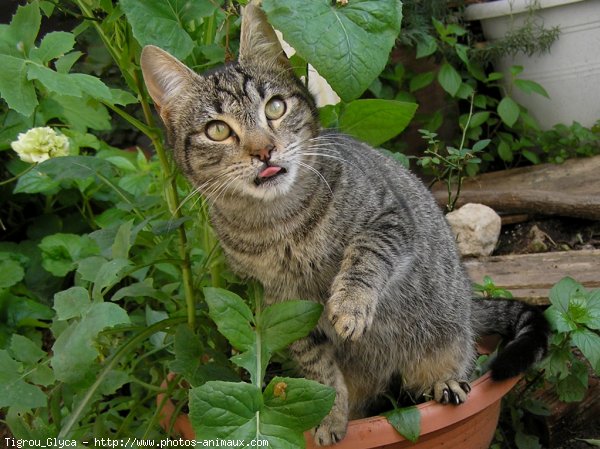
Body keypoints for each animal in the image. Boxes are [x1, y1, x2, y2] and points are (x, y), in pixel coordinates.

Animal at [142, 4, 548, 444]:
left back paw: (447, 379)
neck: (279, 224)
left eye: (275, 107)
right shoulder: (285, 308)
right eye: (217, 130)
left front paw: (350, 305)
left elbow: (365, 256)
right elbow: (319, 372)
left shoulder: (389, 219)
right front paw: (330, 417)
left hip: (447, 329)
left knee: (453, 357)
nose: (264, 151)